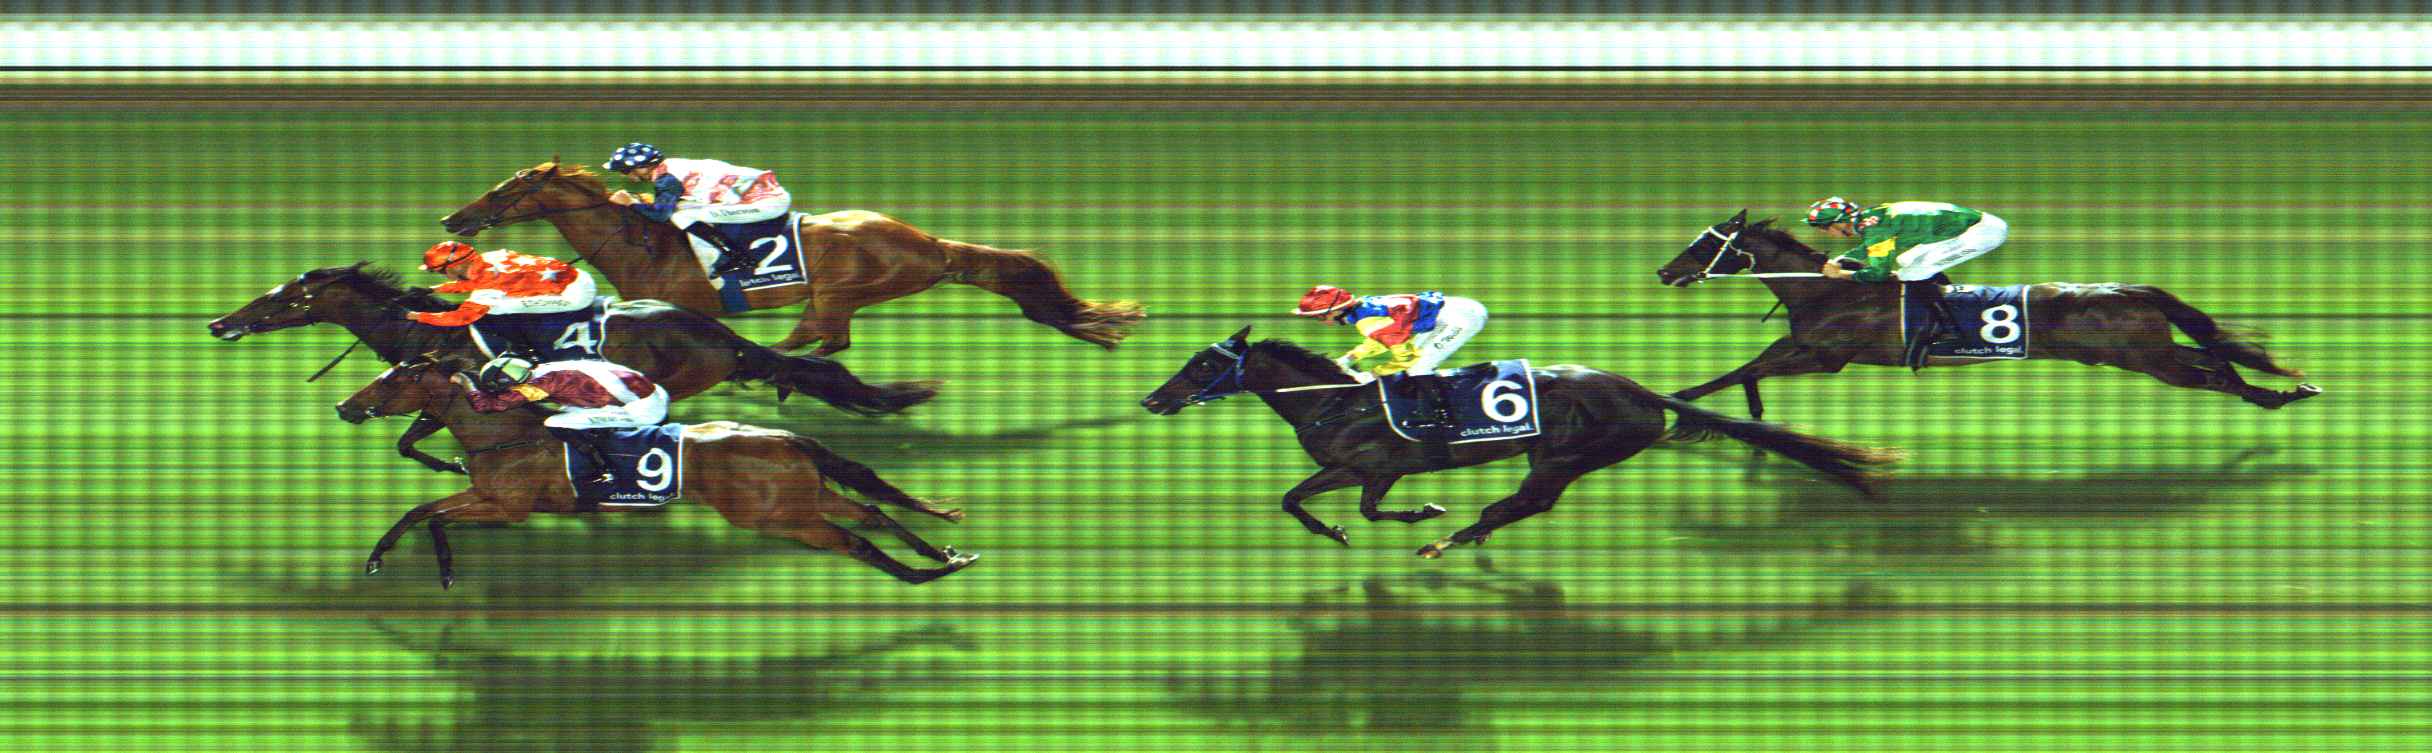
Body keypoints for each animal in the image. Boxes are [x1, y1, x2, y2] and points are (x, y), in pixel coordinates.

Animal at [335, 356, 978, 587]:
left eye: (391, 381)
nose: (345, 406)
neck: (505, 436)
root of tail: (783, 435)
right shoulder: (487, 498)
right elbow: (422, 511)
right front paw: (395, 561)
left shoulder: (507, 509)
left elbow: (429, 515)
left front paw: (435, 570)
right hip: (805, 497)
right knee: (869, 511)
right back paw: (945, 555)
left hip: (781, 518)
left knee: (854, 541)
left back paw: (922, 575)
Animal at [437, 160, 1145, 356]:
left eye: (508, 189)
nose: (454, 219)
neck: (644, 242)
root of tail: (931, 245)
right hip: (841, 296)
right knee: (827, 340)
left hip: (842, 289)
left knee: (817, 339)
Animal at [1138, 327, 1905, 558]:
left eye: (1202, 366)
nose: (1152, 398)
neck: (1336, 399)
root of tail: (1641, 391)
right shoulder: (1361, 468)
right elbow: (1322, 502)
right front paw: (1357, 525)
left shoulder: (1371, 463)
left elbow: (1330, 504)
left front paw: (1413, 518)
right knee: (1524, 506)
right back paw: (1462, 535)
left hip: (1570, 452)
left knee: (1526, 502)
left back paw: (1450, 537)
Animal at [1654, 211, 2322, 420]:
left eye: (1705, 242)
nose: (1663, 272)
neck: (1827, 294)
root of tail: (2128, 288)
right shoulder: (1806, 352)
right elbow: (1746, 371)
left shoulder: (1824, 357)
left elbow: (1742, 369)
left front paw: (1677, 403)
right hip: (2147, 352)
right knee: (2210, 356)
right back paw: (2282, 392)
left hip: (2145, 359)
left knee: (2211, 373)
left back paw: (2273, 396)